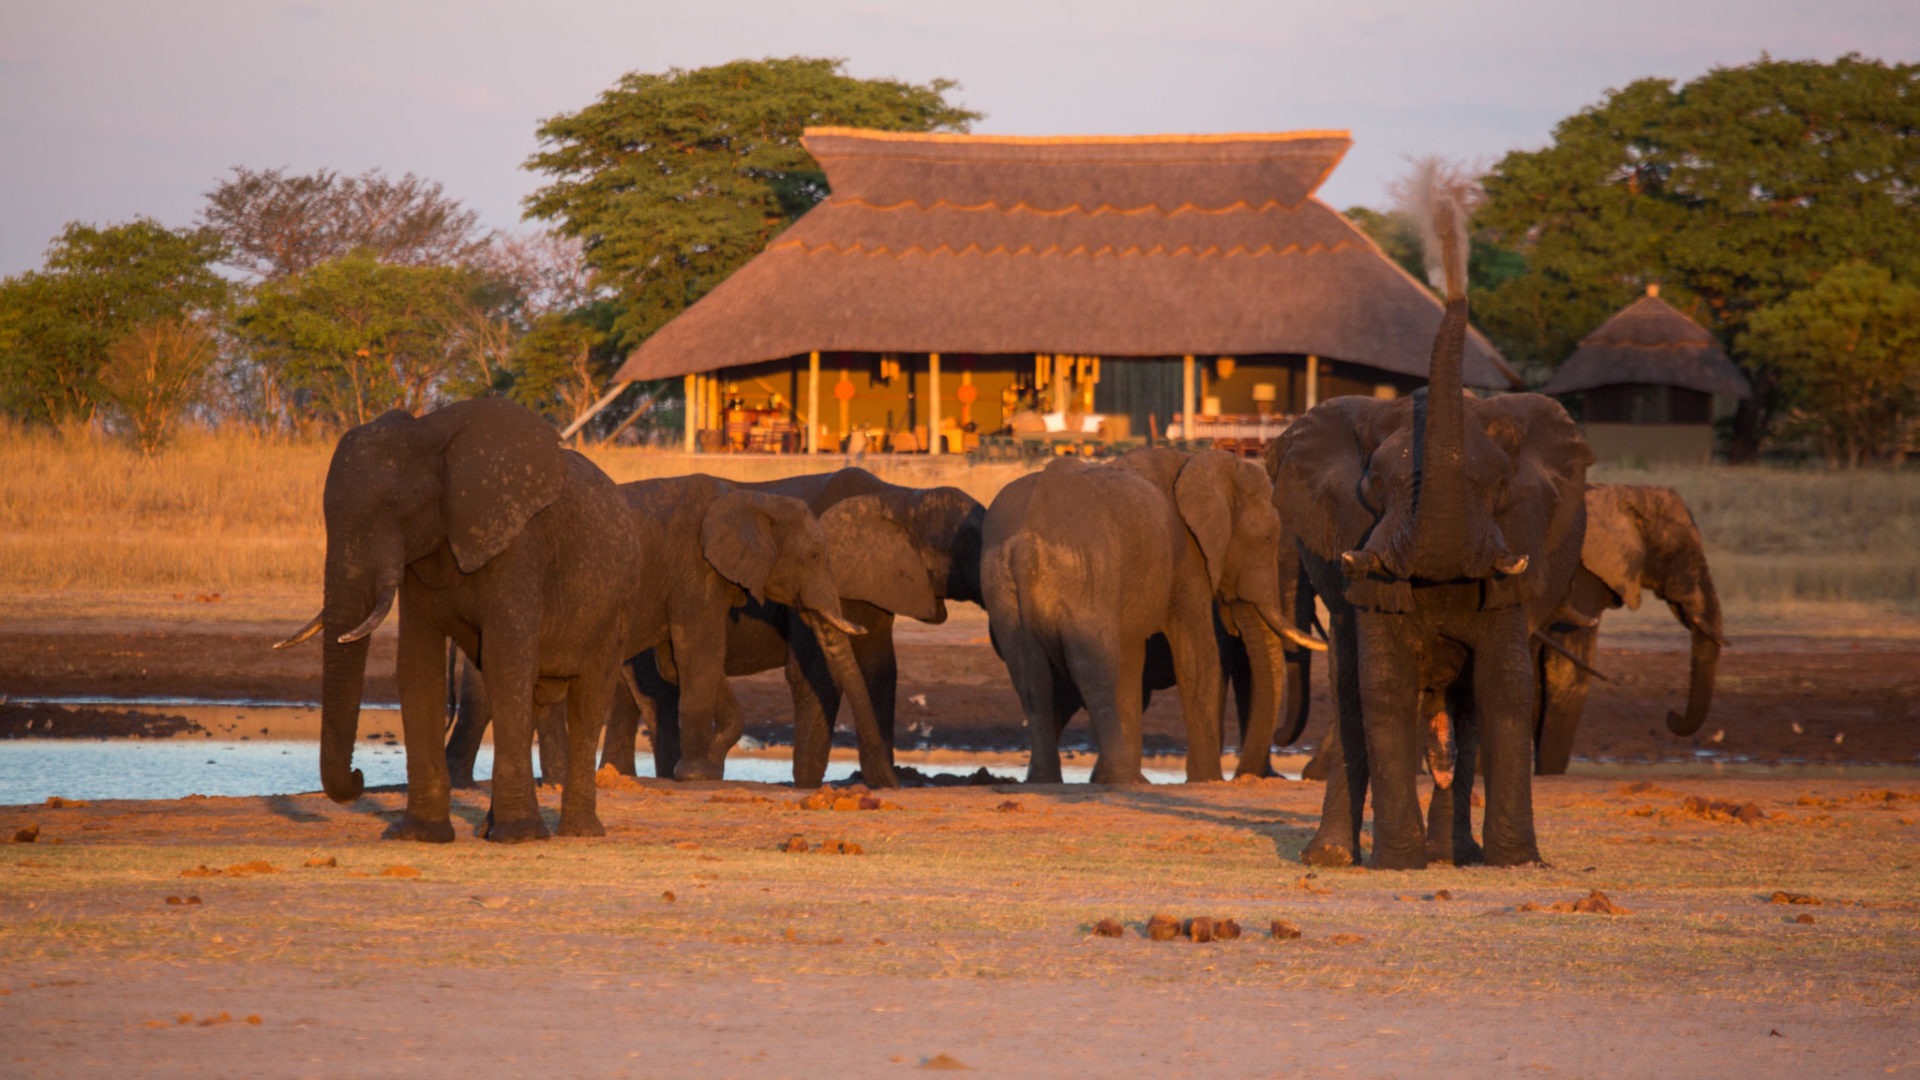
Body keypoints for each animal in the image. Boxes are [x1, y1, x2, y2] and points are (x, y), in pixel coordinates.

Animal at [275, 397, 639, 843]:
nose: (359, 775)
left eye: (393, 505)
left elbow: (506, 660)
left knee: (587, 700)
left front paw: (519, 837)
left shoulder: (519, 547)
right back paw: (490, 828)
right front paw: (418, 835)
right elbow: (418, 666)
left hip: (616, 604)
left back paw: (577, 832)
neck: (432, 436)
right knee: (529, 697)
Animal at [607, 468, 984, 788]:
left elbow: (880, 671)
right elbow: (816, 673)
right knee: (654, 694)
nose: (898, 783)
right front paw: (808, 785)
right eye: (969, 547)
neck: (901, 498)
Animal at [981, 446, 1318, 785]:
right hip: (1084, 578)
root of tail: (1024, 540)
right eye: (1268, 539)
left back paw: (1047, 779)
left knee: (1030, 674)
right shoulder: (1188, 559)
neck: (1199, 462)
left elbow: (1133, 664)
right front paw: (1206, 779)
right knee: (1094, 668)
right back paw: (1115, 776)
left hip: (1004, 590)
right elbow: (1198, 656)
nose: (1242, 778)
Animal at [1267, 193, 1592, 869]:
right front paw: (1398, 861)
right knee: (1353, 695)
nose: (1448, 223)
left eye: (1499, 486)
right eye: (1376, 487)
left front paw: (1518, 862)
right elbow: (1385, 689)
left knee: (1464, 711)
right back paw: (1334, 858)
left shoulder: (1517, 556)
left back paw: (1453, 854)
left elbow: (1505, 685)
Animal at [1533, 483, 1726, 774]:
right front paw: (1549, 775)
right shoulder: (1583, 576)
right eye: (1680, 551)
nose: (1671, 715)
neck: (1623, 494)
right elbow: (1569, 673)